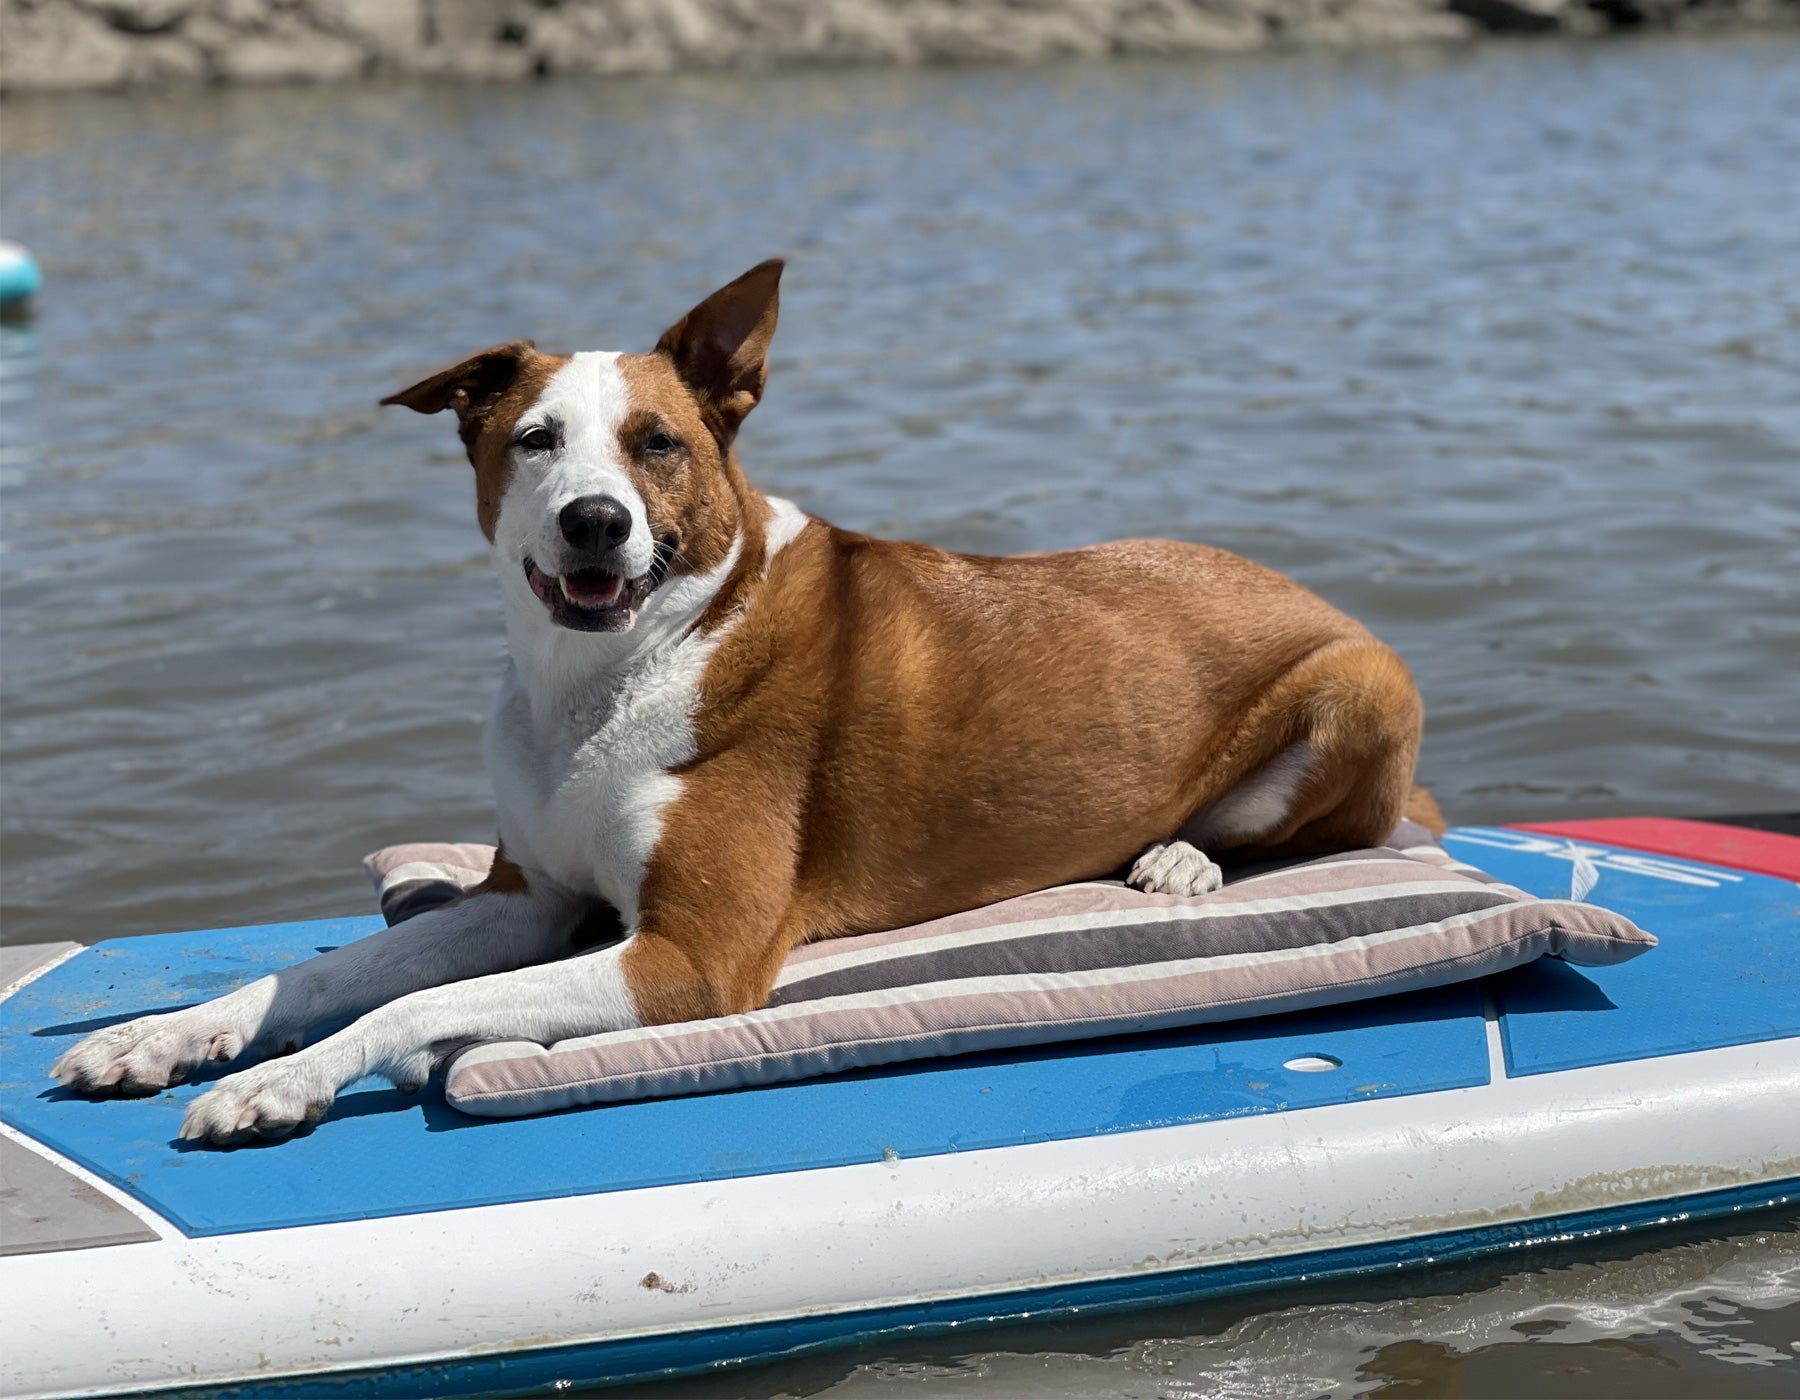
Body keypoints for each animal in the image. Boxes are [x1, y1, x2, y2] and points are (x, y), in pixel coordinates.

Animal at [53, 261, 1440, 1144]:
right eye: (537, 439)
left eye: (658, 442)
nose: (596, 522)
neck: (613, 674)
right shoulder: (528, 900)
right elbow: (322, 972)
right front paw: (167, 1035)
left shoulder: (689, 957)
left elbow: (410, 1006)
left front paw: (278, 1088)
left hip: (1358, 686)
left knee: (1341, 826)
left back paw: (1183, 859)